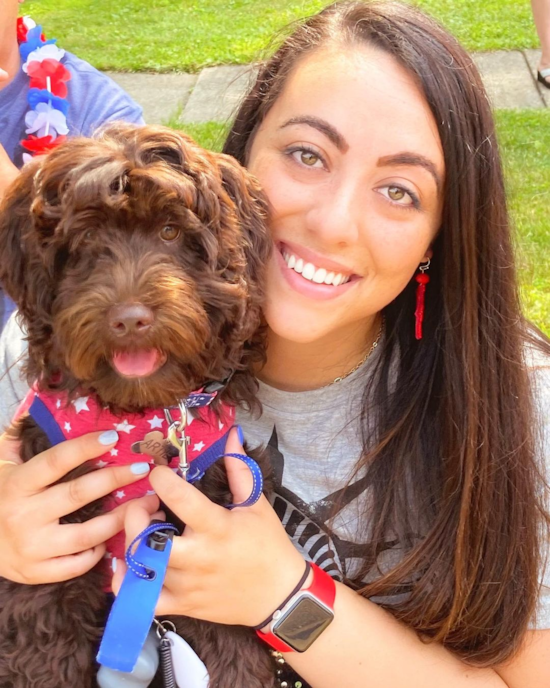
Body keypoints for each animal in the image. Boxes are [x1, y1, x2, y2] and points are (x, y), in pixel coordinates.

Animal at [0, 123, 278, 688]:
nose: (130, 320)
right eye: (85, 239)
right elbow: (45, 643)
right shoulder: (50, 558)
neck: (141, 413)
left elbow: (233, 646)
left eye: (171, 232)